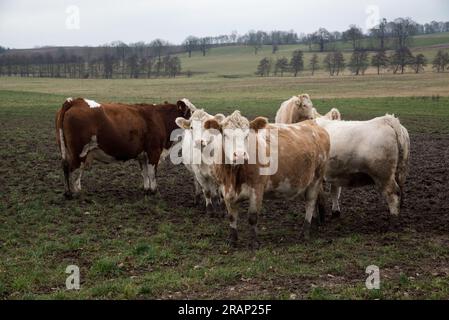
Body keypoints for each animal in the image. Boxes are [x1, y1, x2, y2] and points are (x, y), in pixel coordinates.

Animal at [54, 97, 191, 198]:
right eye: (191, 112)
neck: (160, 118)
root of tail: (75, 101)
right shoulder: (154, 151)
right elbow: (152, 172)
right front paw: (154, 191)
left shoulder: (143, 155)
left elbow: (145, 172)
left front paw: (147, 189)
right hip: (79, 152)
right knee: (74, 170)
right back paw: (77, 192)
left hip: (67, 151)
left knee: (65, 166)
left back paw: (68, 193)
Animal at [203, 111, 328, 249]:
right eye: (225, 135)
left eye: (247, 135)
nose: (240, 155)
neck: (234, 176)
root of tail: (312, 124)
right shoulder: (225, 190)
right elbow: (231, 217)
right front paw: (232, 240)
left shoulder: (257, 189)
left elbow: (252, 217)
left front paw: (254, 242)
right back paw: (315, 222)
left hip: (316, 178)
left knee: (310, 203)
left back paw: (305, 232)